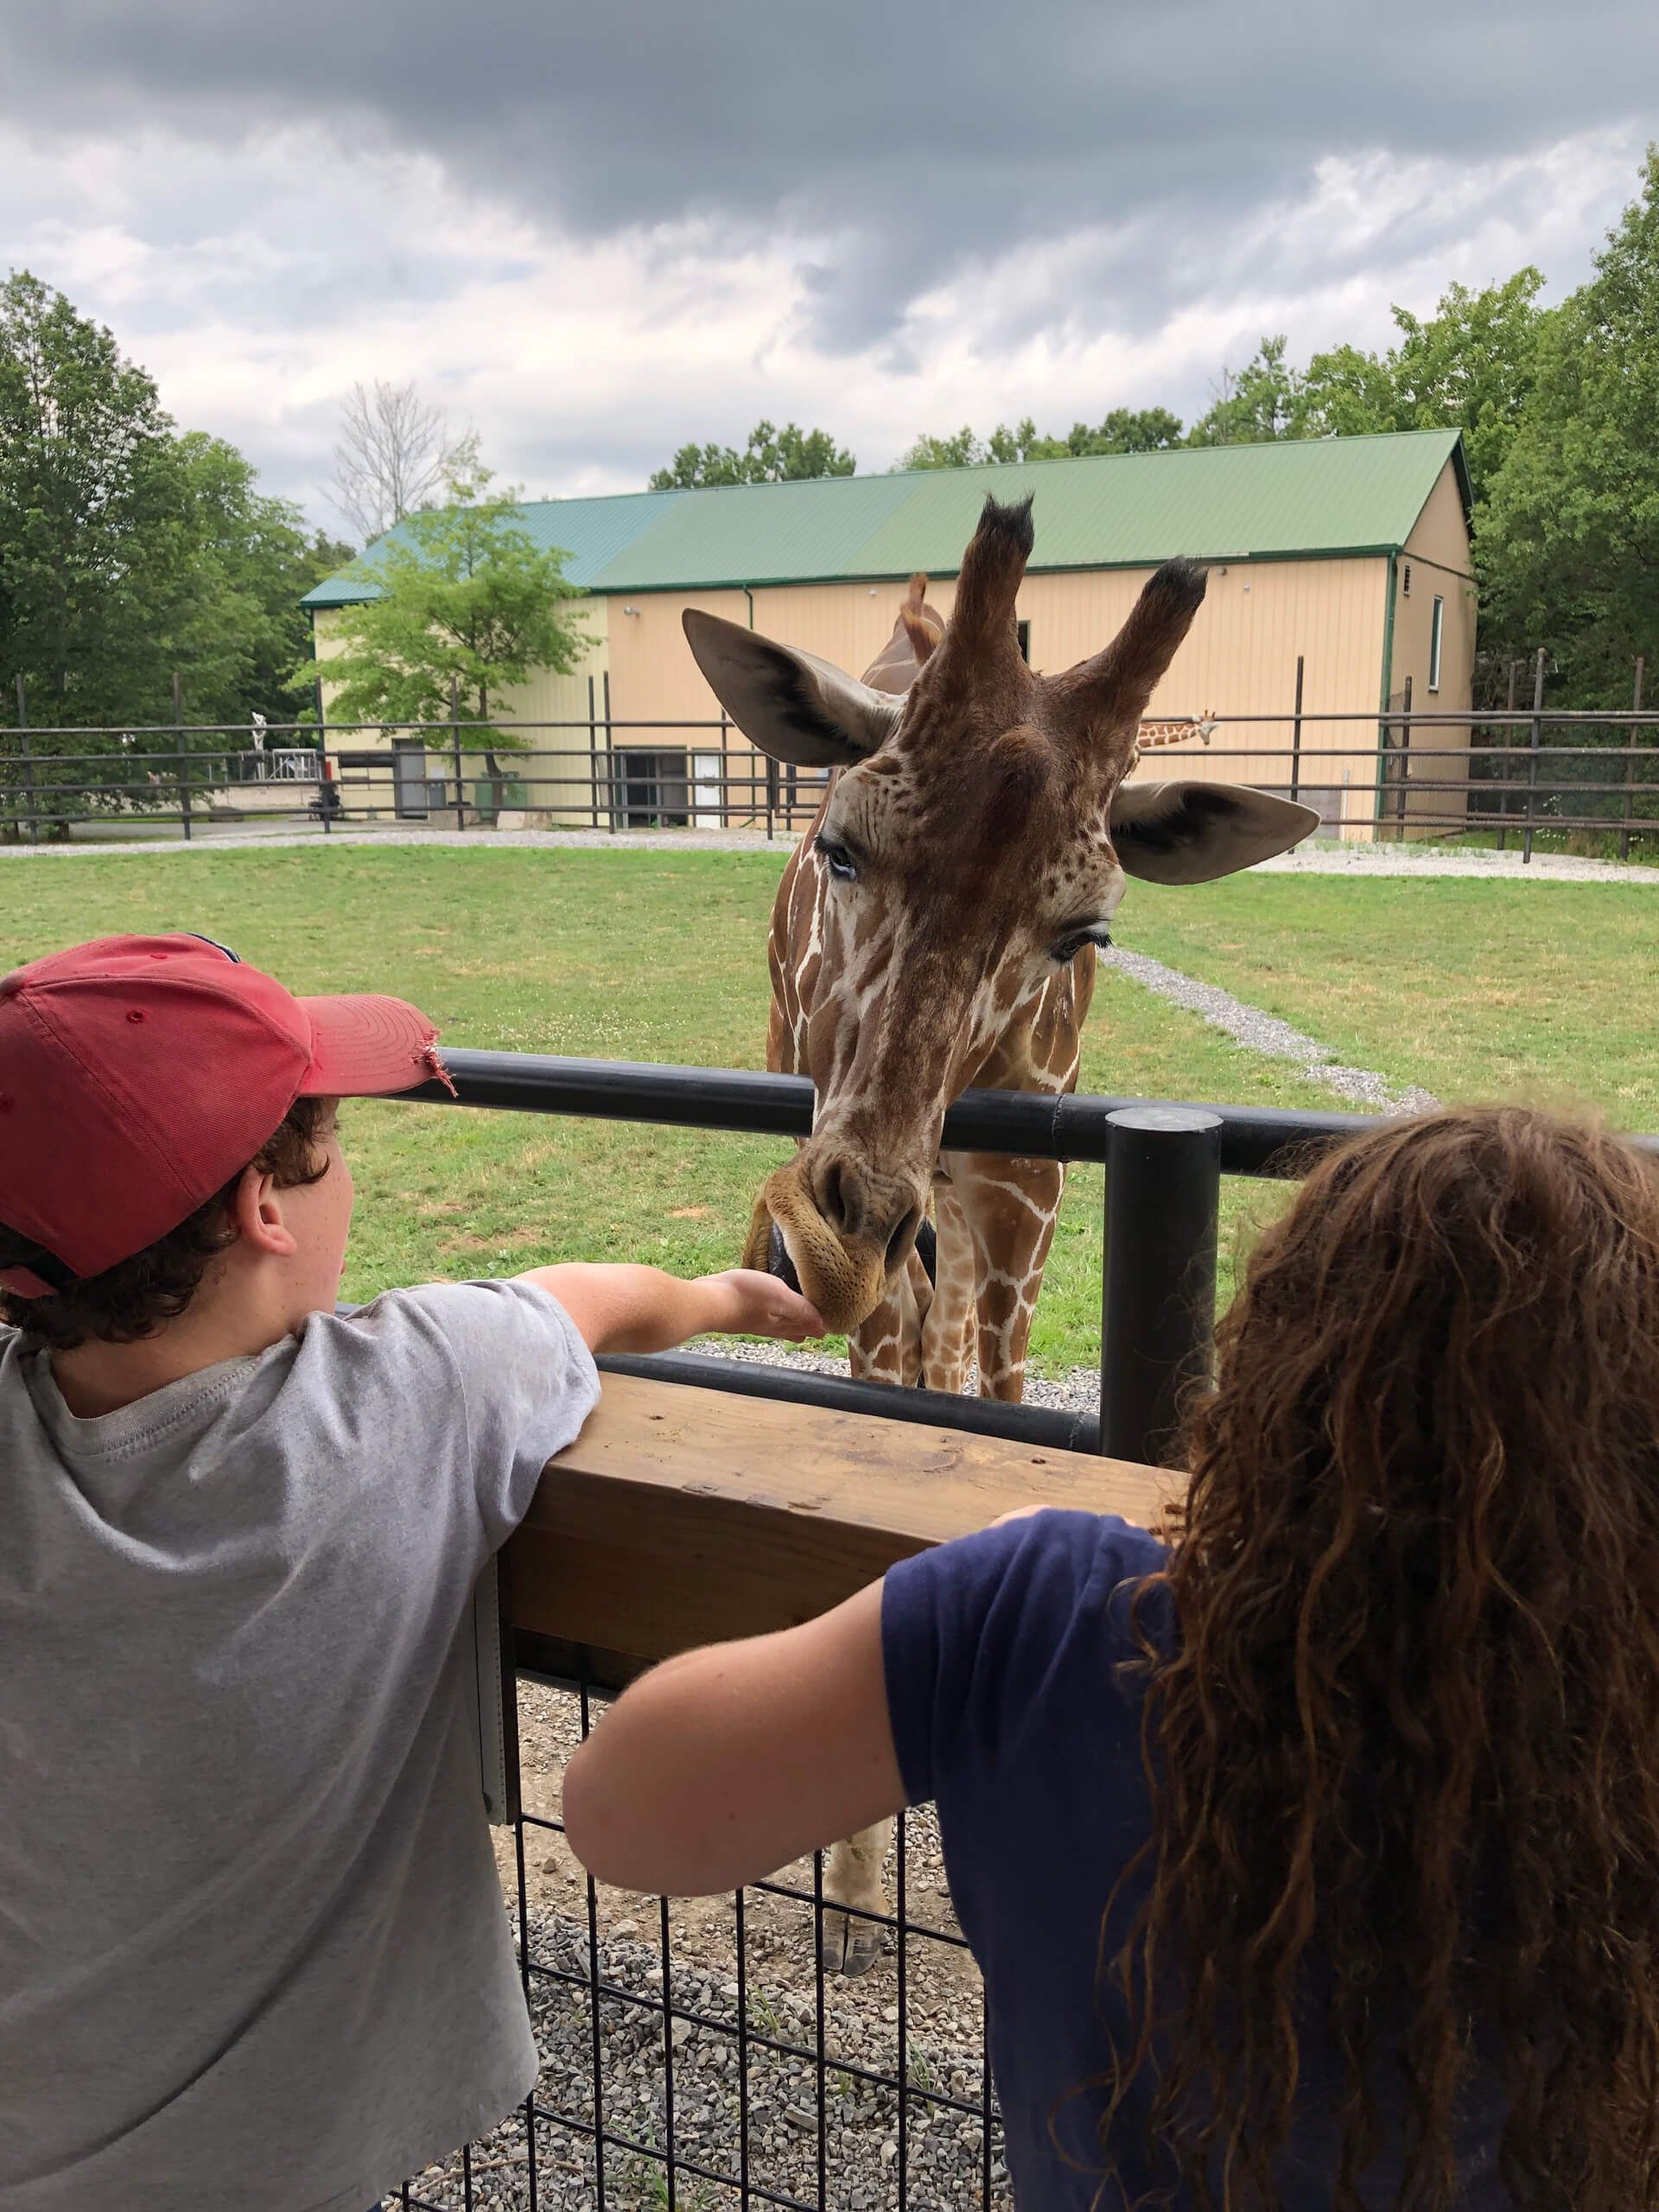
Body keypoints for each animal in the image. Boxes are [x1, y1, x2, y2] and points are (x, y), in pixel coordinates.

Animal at [684, 495, 1316, 1968]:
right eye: (841, 847)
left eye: (1082, 928)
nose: (830, 1240)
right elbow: (885, 1421)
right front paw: (855, 1886)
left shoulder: (1026, 1191)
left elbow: (1003, 1413)